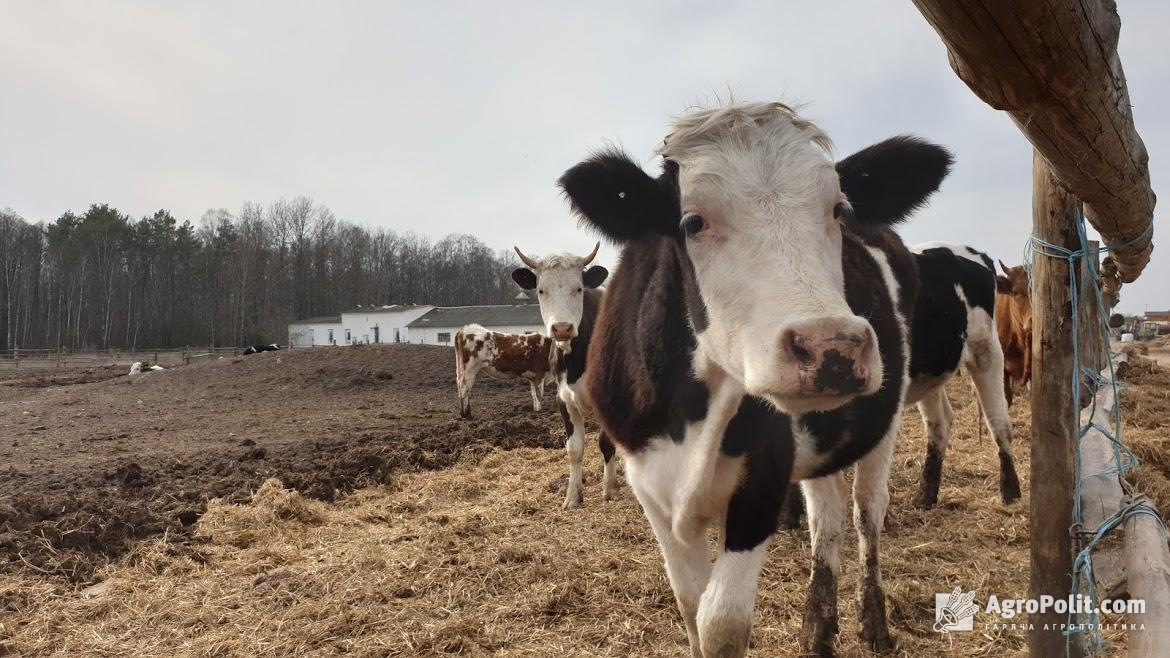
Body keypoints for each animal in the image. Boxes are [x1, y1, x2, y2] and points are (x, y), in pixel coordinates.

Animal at [514, 243, 622, 503]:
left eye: (579, 288)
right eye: (541, 290)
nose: (562, 328)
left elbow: (605, 442)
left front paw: (610, 489)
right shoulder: (563, 398)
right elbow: (574, 449)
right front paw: (573, 496)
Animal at [561, 100, 954, 650]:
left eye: (838, 209)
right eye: (692, 221)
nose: (831, 345)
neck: (690, 416)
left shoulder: (763, 482)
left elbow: (722, 622)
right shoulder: (648, 484)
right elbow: (689, 605)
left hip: (886, 419)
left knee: (865, 512)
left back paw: (873, 623)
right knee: (826, 517)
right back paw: (818, 629)